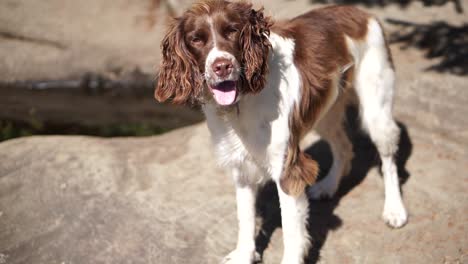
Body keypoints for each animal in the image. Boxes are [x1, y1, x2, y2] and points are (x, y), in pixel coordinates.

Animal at [155, 1, 408, 262]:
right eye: (196, 39)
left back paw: (394, 209)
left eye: (232, 31)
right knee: (343, 146)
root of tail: (362, 13)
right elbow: (245, 218)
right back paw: (327, 186)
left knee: (388, 161)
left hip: (376, 109)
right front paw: (244, 254)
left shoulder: (287, 169)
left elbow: (291, 230)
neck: (243, 100)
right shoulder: (242, 168)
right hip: (326, 111)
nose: (222, 66)